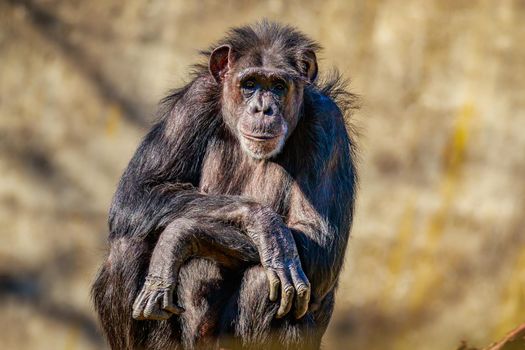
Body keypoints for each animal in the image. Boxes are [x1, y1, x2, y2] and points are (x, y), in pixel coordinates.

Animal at [93, 20, 356, 348]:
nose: (263, 109)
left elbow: (318, 240)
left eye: (278, 86)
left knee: (267, 280)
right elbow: (138, 191)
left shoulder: (327, 123)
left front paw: (181, 236)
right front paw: (263, 224)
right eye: (250, 84)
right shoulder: (194, 100)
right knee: (127, 247)